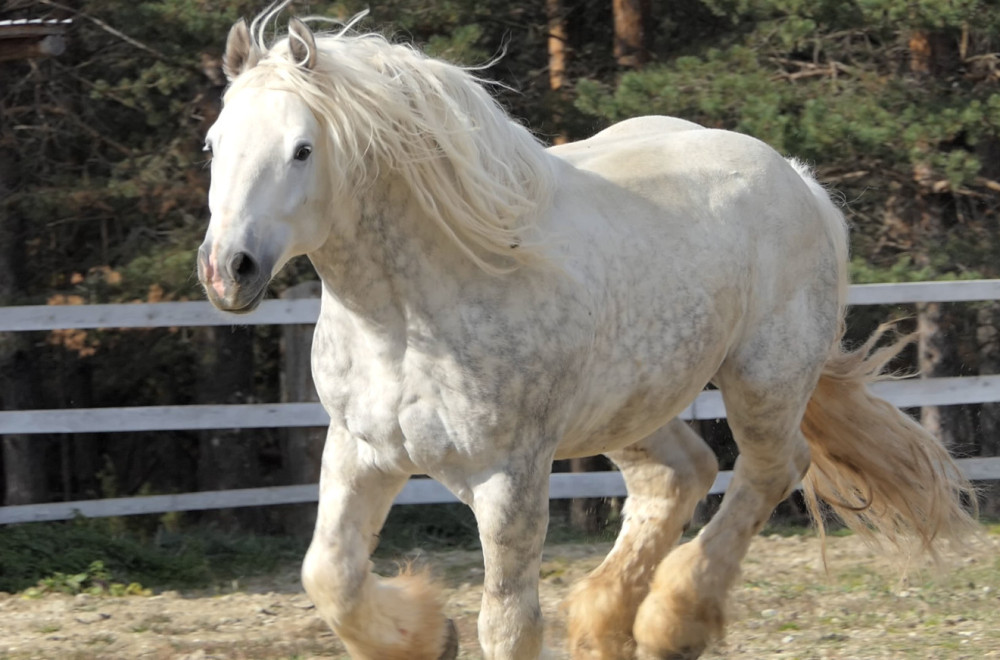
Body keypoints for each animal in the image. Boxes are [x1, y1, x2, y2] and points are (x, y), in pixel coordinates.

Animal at [197, 9, 976, 660]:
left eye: (302, 150)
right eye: (212, 144)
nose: (227, 269)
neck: (403, 319)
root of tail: (799, 179)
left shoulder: (510, 475)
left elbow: (507, 624)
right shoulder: (361, 451)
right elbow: (330, 576)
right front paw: (425, 635)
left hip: (764, 379)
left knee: (769, 470)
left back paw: (671, 623)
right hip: (631, 405)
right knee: (680, 473)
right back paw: (608, 621)